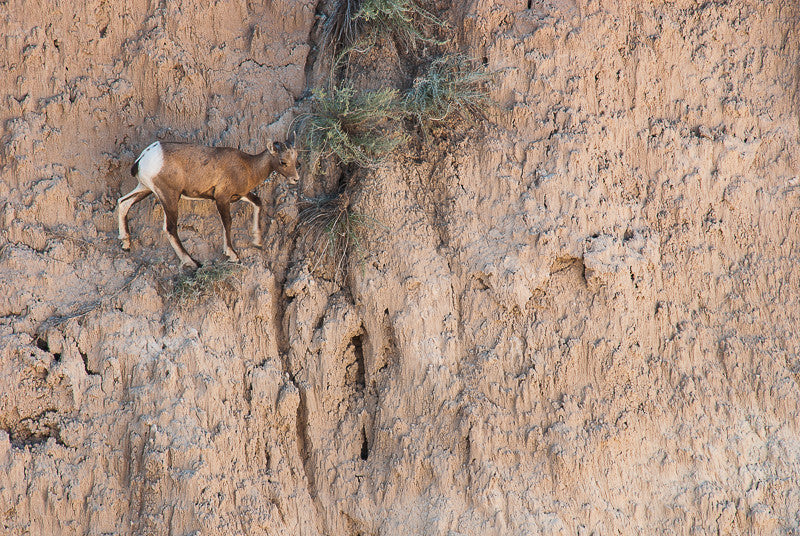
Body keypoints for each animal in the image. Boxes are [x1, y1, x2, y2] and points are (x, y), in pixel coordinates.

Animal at [117, 133, 299, 269]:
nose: (296, 179)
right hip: (169, 196)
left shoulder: (240, 195)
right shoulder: (222, 198)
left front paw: (258, 242)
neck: (248, 167)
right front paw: (233, 255)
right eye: (283, 162)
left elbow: (258, 202)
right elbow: (227, 222)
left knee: (123, 202)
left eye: (296, 159)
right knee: (170, 228)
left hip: (145, 188)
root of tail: (144, 157)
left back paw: (126, 244)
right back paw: (193, 262)